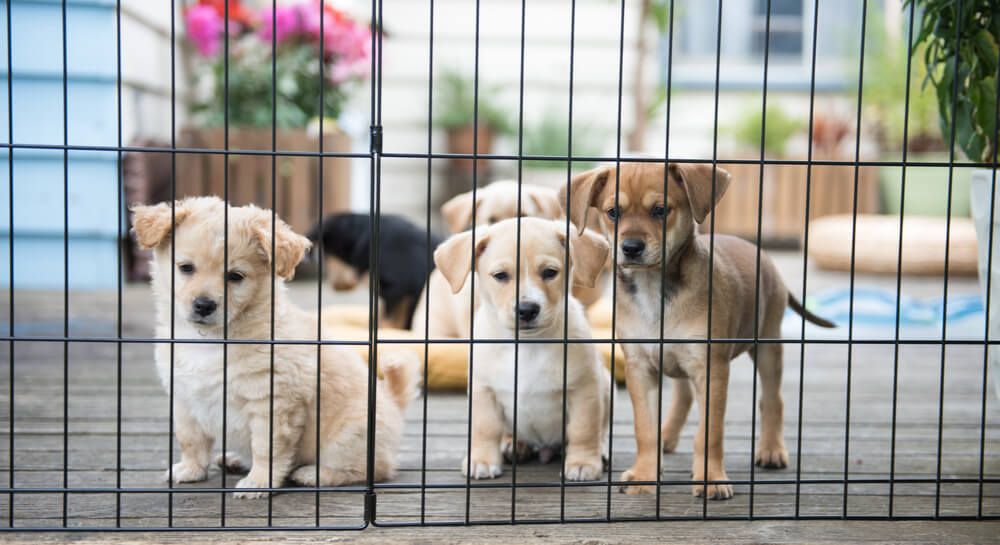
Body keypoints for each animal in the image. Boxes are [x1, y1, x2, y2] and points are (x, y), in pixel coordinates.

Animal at [131, 198, 416, 500]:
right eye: (185, 268)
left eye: (235, 276)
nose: (204, 305)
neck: (212, 340)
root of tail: (394, 404)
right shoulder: (184, 397)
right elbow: (190, 439)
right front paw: (190, 470)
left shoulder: (272, 403)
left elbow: (266, 448)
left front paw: (259, 483)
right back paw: (234, 459)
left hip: (348, 439)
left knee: (371, 469)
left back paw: (312, 474)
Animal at [436, 218, 612, 480]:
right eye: (500, 276)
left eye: (550, 273)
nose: (527, 310)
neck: (526, 345)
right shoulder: (483, 391)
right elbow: (484, 429)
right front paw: (482, 460)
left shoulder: (585, 390)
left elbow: (584, 429)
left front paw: (583, 463)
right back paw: (513, 444)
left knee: (600, 430)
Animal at [564, 162, 836, 498]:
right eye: (613, 212)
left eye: (660, 210)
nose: (631, 247)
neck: (656, 289)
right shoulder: (641, 368)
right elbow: (645, 429)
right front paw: (645, 475)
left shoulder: (711, 368)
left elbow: (710, 432)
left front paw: (710, 479)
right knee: (683, 398)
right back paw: (667, 437)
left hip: (768, 345)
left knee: (773, 399)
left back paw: (772, 450)